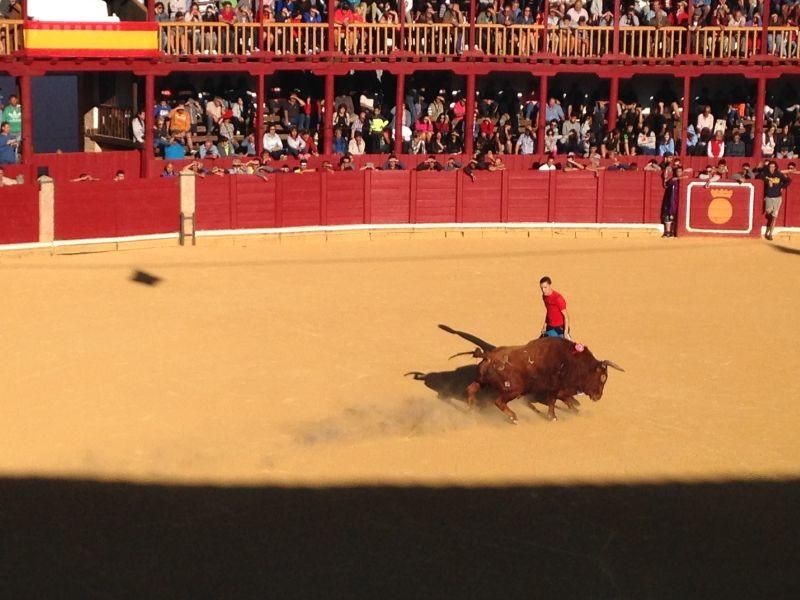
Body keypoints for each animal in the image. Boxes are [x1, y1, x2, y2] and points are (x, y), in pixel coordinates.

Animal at [438, 326, 624, 424]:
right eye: (603, 377)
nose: (598, 396)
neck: (573, 361)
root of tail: (489, 355)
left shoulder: (562, 388)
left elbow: (565, 399)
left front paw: (575, 410)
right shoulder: (555, 387)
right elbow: (553, 401)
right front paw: (553, 417)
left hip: (481, 380)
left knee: (471, 389)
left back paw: (471, 411)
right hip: (514, 389)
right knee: (498, 401)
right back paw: (513, 418)